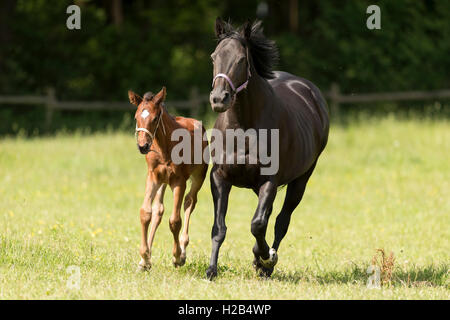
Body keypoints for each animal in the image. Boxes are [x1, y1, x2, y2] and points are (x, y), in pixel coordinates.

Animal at [128, 87, 209, 270]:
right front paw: (144, 258)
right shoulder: (153, 177)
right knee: (158, 210)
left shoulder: (179, 181)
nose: (143, 146)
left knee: (190, 202)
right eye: (136, 117)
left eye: (155, 118)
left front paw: (177, 257)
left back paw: (183, 250)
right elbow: (146, 213)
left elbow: (175, 221)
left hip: (198, 175)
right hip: (163, 182)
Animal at [207, 19, 330, 280]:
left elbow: (258, 224)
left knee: (281, 221)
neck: (243, 128)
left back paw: (266, 263)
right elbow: (219, 228)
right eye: (214, 57)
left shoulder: (269, 181)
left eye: (241, 60)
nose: (219, 99)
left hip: (301, 180)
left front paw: (265, 257)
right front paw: (211, 270)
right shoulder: (219, 178)